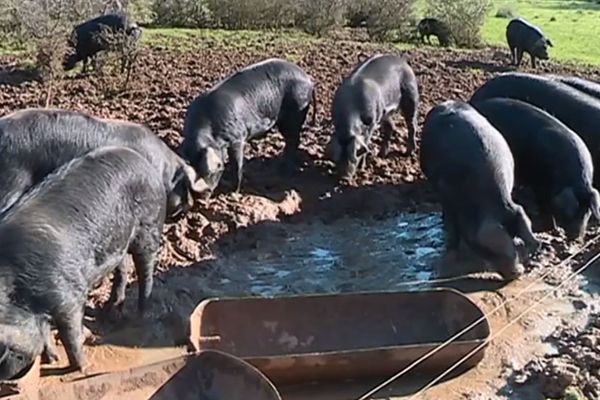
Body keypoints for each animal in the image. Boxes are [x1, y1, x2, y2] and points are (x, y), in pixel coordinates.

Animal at [0, 146, 166, 378]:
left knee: (146, 269)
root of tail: (139, 158)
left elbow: (70, 336)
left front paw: (80, 368)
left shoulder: (67, 295)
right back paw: (109, 311)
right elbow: (46, 333)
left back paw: (141, 315)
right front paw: (52, 358)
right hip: (117, 243)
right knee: (122, 268)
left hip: (149, 226)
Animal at [178, 57, 316, 197]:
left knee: (293, 141)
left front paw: (234, 193)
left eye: (210, 172)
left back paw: (283, 171)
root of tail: (308, 78)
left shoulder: (238, 137)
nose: (200, 197)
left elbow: (237, 164)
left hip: (296, 111)